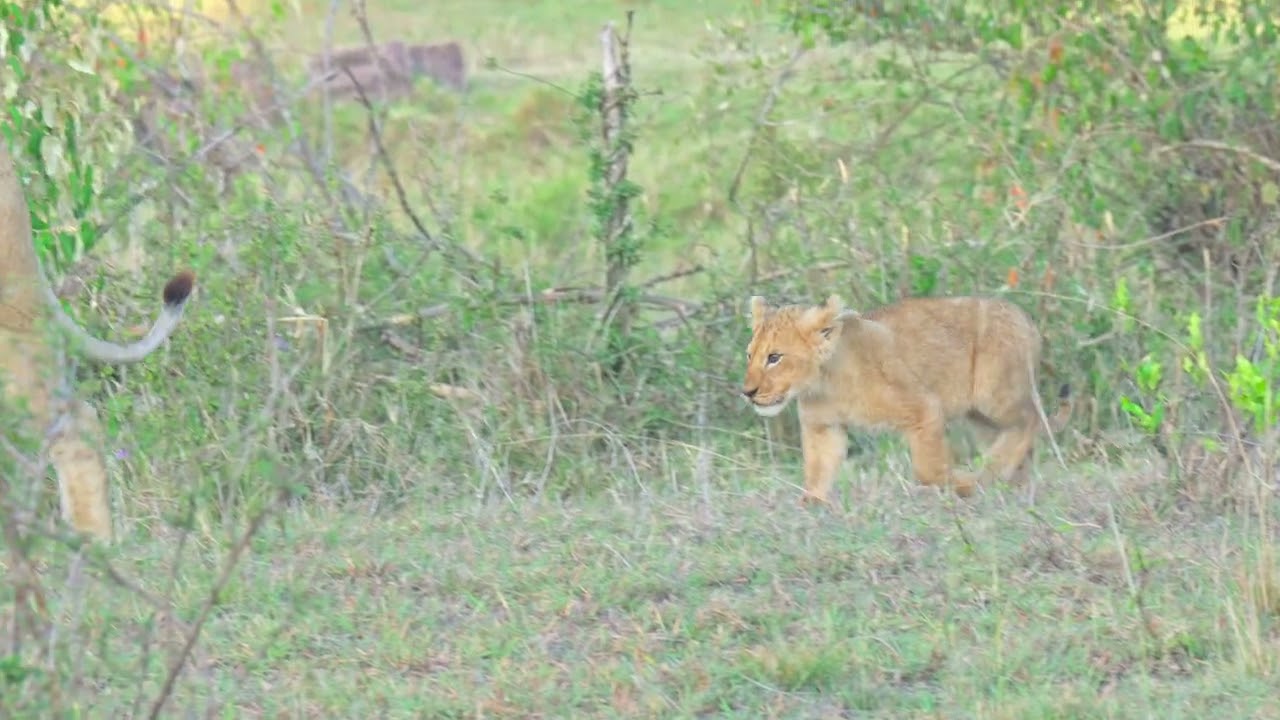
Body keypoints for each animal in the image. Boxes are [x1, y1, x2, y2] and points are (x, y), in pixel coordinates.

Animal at [741, 294, 1072, 504]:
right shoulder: (824, 427)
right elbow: (818, 471)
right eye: (749, 355)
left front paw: (960, 484)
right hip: (982, 418)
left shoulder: (924, 407)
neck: (823, 384)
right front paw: (812, 504)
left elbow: (929, 470)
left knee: (1030, 421)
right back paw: (1013, 487)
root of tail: (1026, 320)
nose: (748, 392)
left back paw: (988, 476)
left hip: (995, 395)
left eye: (774, 357)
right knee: (1018, 443)